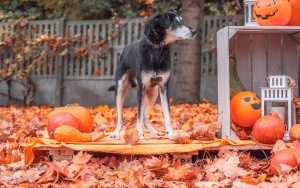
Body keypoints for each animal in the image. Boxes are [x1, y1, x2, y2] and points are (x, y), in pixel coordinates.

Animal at [108, 10, 197, 139]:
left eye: (181, 20)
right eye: (175, 22)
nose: (194, 31)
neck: (157, 49)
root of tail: (125, 48)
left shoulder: (164, 87)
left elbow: (167, 115)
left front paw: (171, 133)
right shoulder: (141, 90)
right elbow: (138, 116)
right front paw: (139, 134)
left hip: (153, 93)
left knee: (145, 118)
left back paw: (154, 132)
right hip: (120, 89)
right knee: (121, 118)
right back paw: (116, 133)